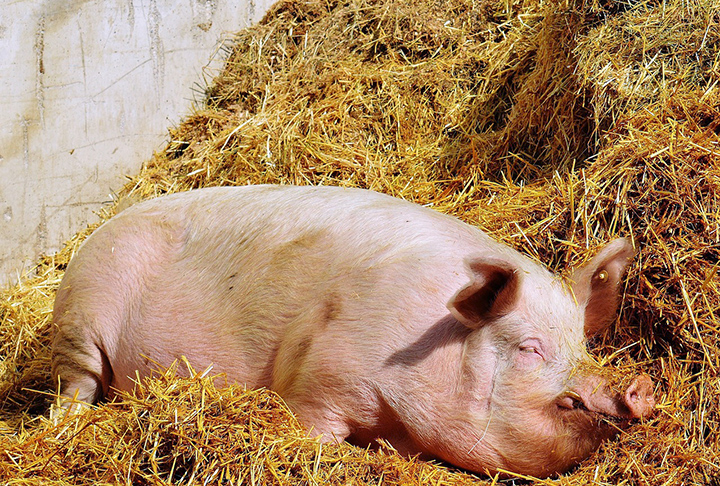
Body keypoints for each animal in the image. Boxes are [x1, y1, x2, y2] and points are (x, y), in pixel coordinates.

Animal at [51, 184, 654, 478]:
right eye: (530, 348)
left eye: (582, 345)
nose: (640, 387)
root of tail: (100, 229)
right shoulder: (318, 376)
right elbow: (310, 427)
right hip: (81, 315)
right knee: (74, 386)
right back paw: (66, 423)